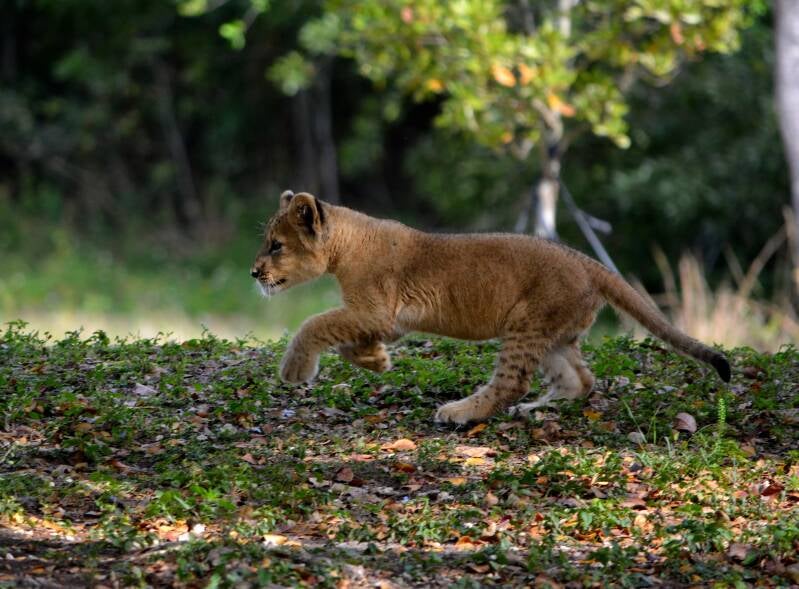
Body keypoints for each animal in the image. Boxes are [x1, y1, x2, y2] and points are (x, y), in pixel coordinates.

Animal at [251, 190, 730, 424]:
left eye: (276, 246)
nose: (254, 273)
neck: (345, 245)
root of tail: (587, 261)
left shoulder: (376, 311)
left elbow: (315, 323)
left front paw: (295, 370)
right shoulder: (383, 320)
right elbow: (343, 333)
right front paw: (375, 360)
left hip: (525, 322)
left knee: (512, 382)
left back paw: (460, 413)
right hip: (554, 335)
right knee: (580, 380)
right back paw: (531, 410)